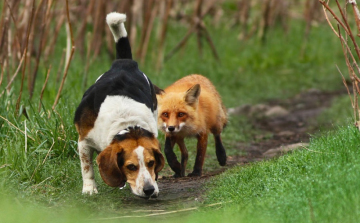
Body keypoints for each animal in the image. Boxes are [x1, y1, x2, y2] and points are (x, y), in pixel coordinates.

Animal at [74, 12, 164, 198]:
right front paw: (89, 189)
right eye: (131, 166)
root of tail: (124, 62)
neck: (126, 123)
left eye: (151, 163)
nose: (149, 190)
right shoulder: (84, 141)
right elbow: (87, 168)